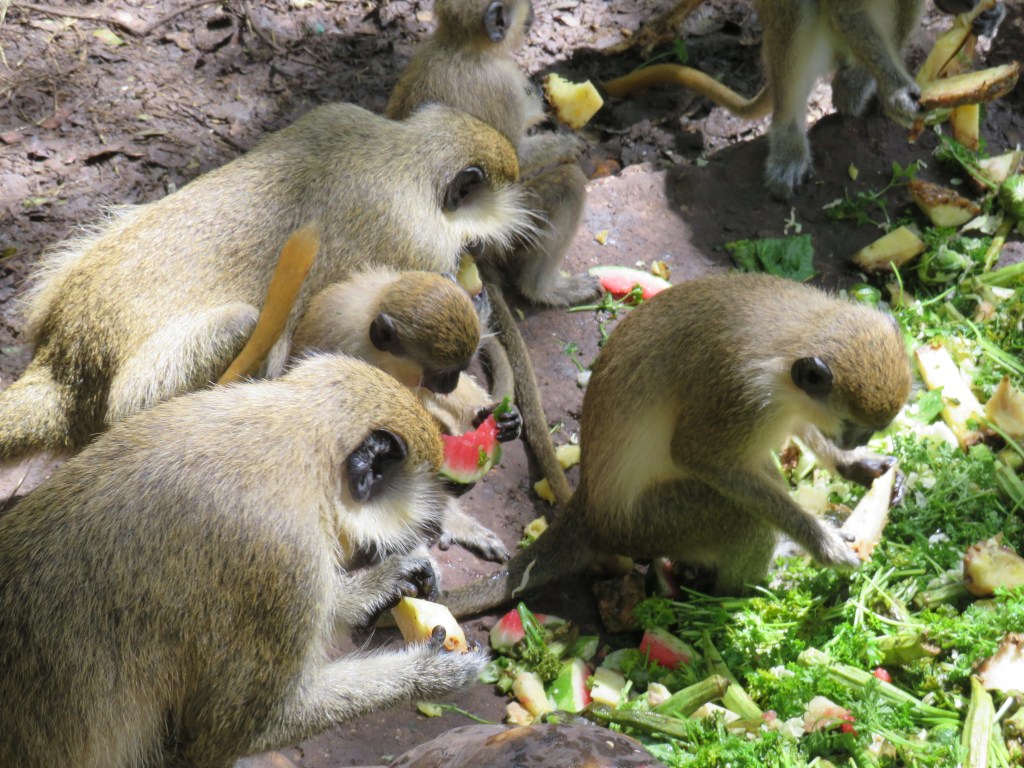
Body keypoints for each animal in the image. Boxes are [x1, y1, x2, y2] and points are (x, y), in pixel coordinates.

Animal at [0, 102, 532, 462]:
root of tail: (66, 366)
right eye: (471, 246)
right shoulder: (418, 246)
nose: (477, 274)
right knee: (242, 326)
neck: (403, 155)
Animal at [0, 353, 489, 768]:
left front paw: (380, 584)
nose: (432, 524)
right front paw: (431, 672)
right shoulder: (282, 558)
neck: (294, 439)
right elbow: (234, 733)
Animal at [441, 273, 913, 616]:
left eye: (868, 430)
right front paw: (823, 544)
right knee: (743, 516)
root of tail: (591, 509)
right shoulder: (740, 393)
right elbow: (699, 456)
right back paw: (746, 589)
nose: (857, 439)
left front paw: (856, 466)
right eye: (855, 425)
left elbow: (803, 428)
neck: (797, 334)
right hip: (655, 525)